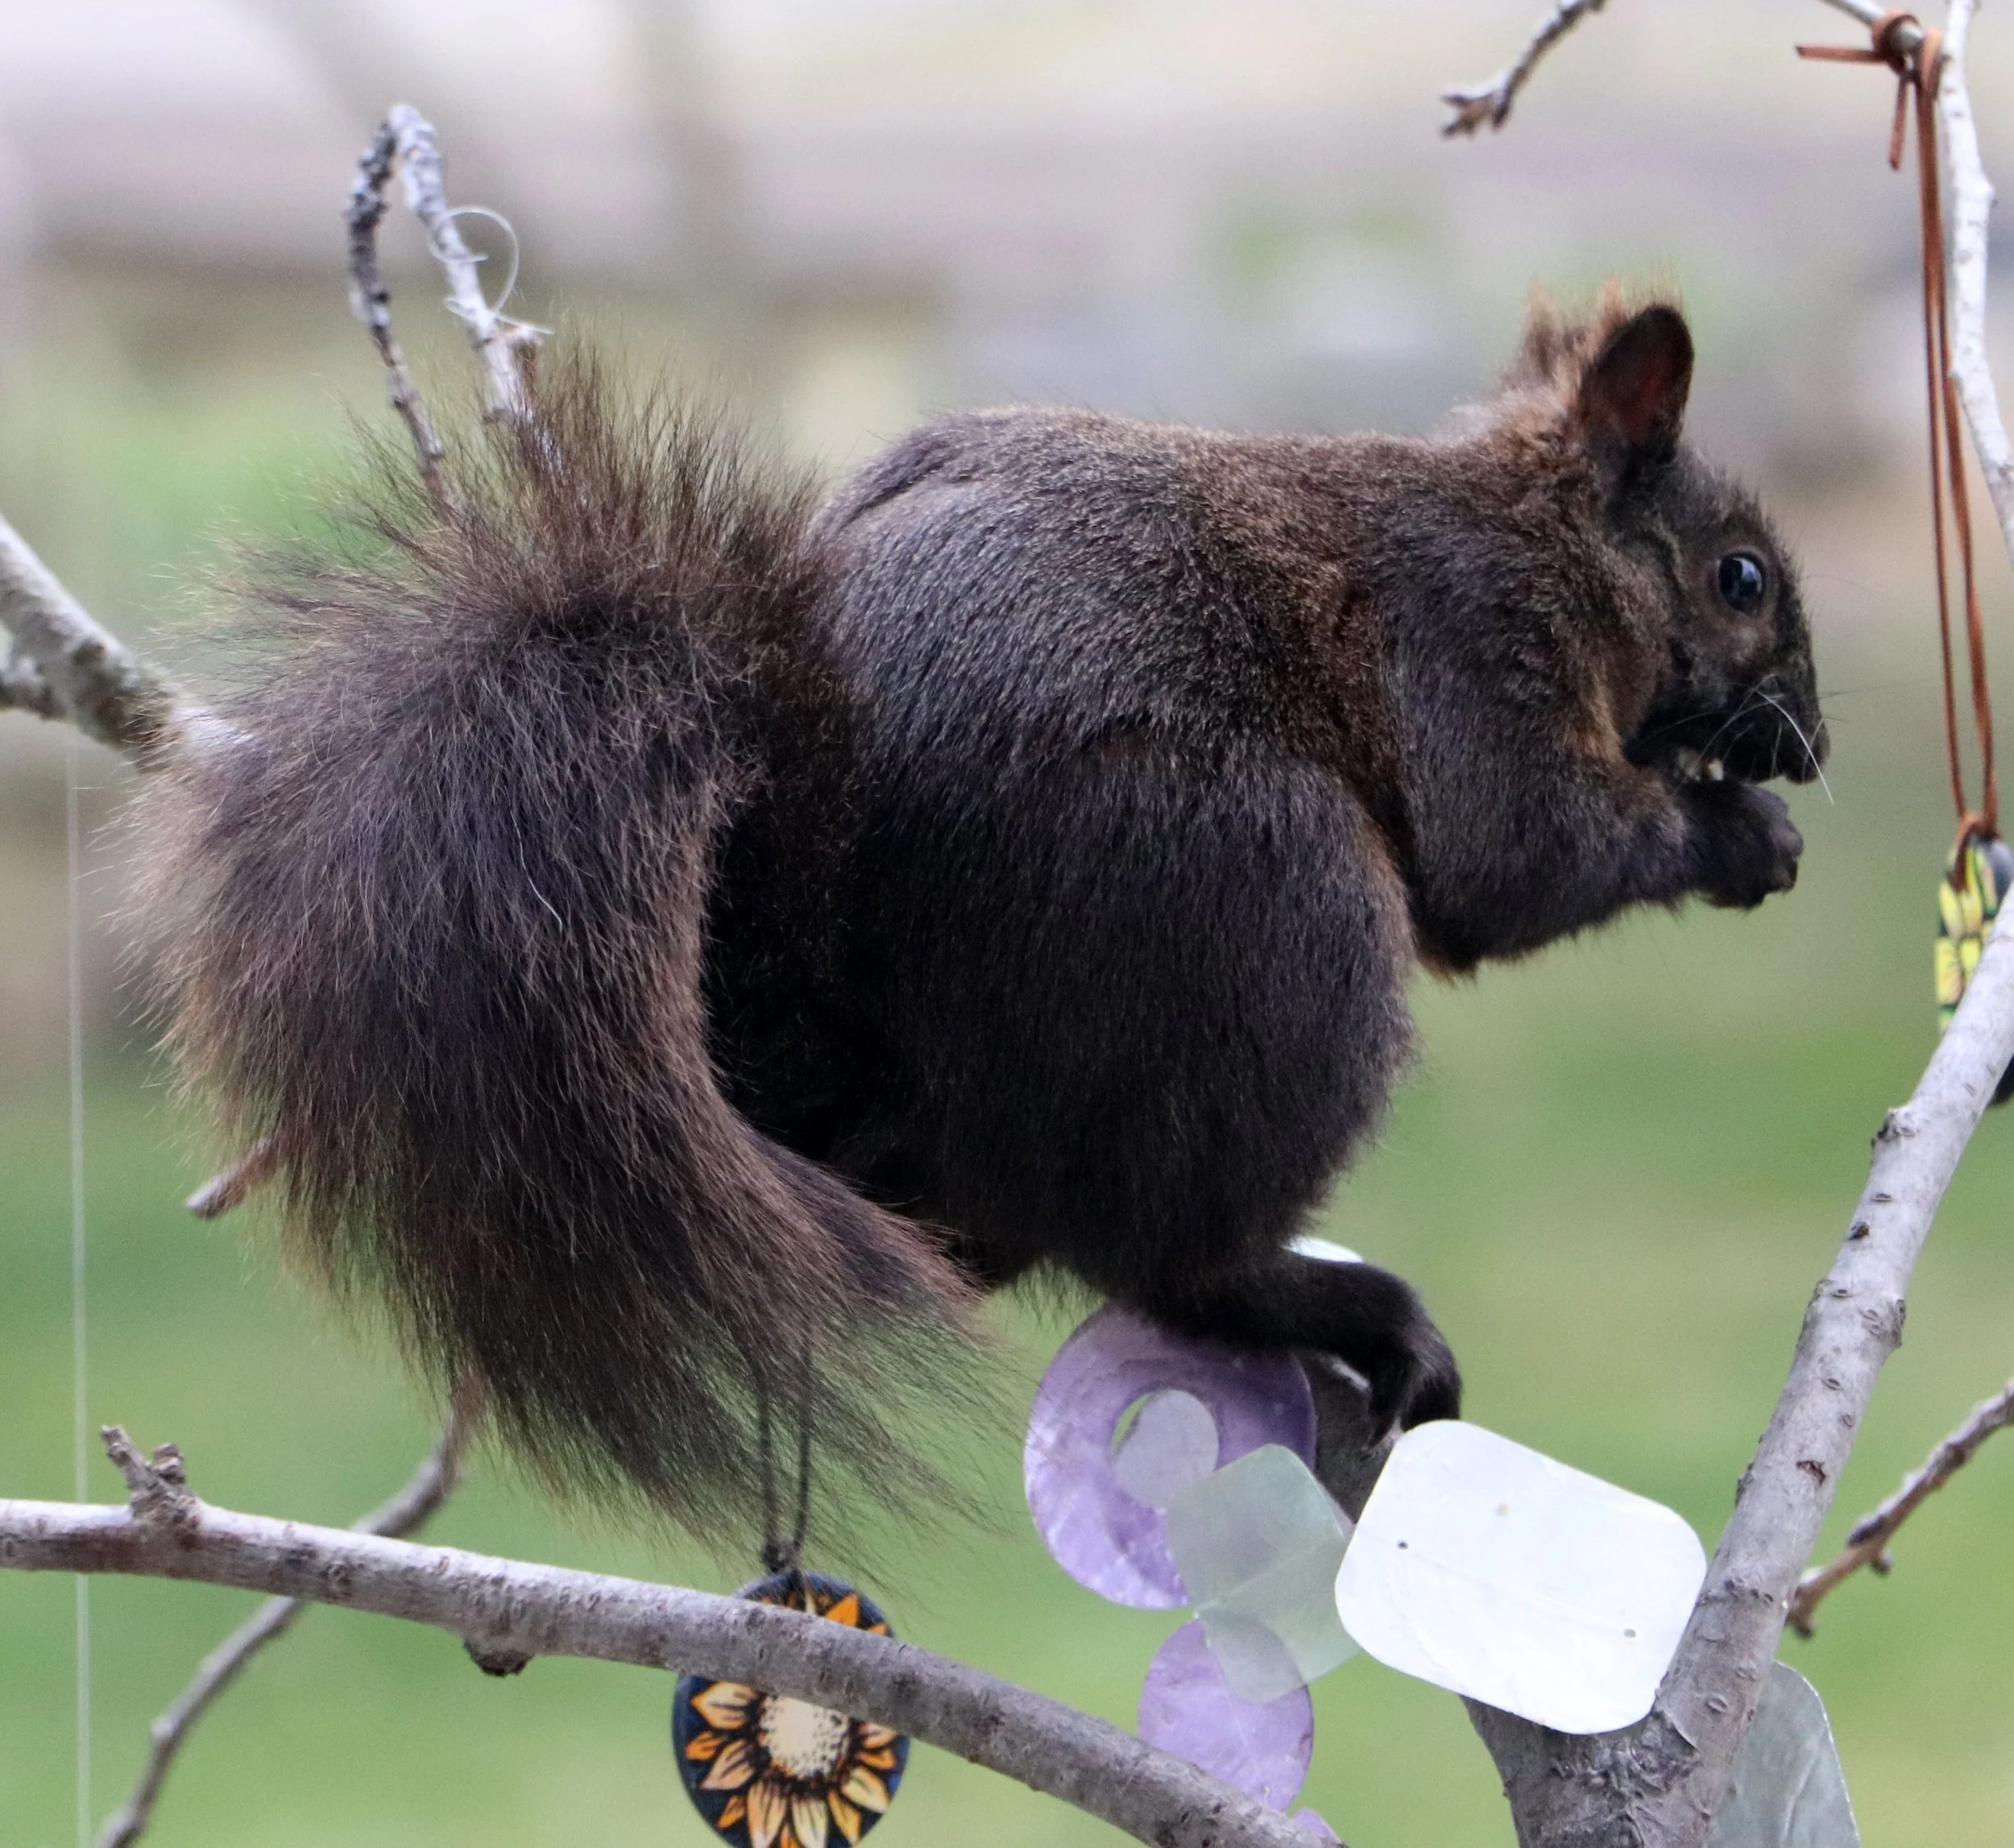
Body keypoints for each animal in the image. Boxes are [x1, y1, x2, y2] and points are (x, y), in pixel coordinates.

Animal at [135, 292, 1824, 1548]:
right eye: (1741, 575)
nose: (1809, 742)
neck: (1533, 532)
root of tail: (835, 1071)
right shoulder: (1471, 649)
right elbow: (1516, 855)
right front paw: (1734, 832)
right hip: (1272, 918)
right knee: (1166, 1247)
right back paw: (1328, 1300)